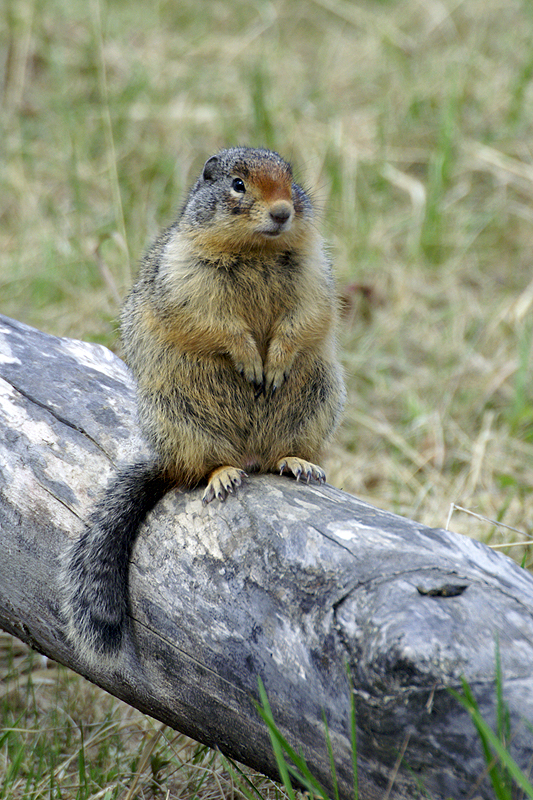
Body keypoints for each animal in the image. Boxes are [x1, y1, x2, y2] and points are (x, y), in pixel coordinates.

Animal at [62, 147, 344, 664]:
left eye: (291, 177)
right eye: (237, 184)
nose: (282, 212)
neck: (257, 252)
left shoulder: (314, 271)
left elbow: (307, 316)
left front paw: (274, 364)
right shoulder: (187, 277)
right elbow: (214, 322)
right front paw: (250, 360)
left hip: (318, 399)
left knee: (280, 454)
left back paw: (297, 462)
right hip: (182, 417)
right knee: (204, 468)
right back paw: (224, 475)